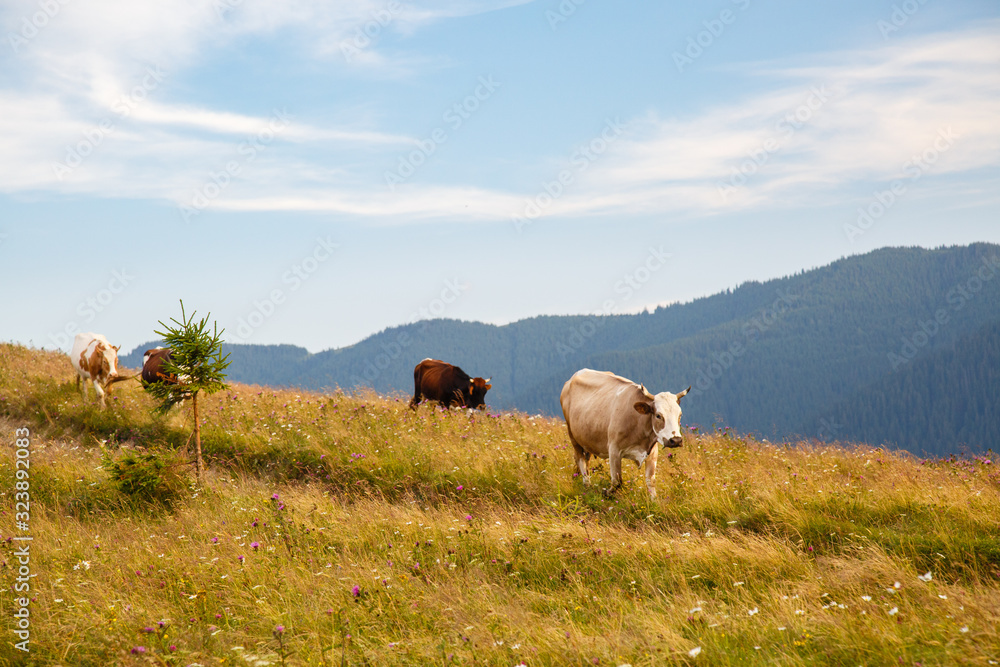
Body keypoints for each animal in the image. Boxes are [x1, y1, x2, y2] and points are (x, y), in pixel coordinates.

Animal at [560, 368, 690, 498]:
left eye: (680, 415)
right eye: (658, 415)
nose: (676, 440)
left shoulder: (652, 452)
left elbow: (651, 481)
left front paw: (654, 501)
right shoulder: (614, 450)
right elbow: (617, 481)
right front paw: (606, 493)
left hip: (587, 439)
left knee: (586, 459)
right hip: (573, 435)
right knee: (579, 458)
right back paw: (587, 485)